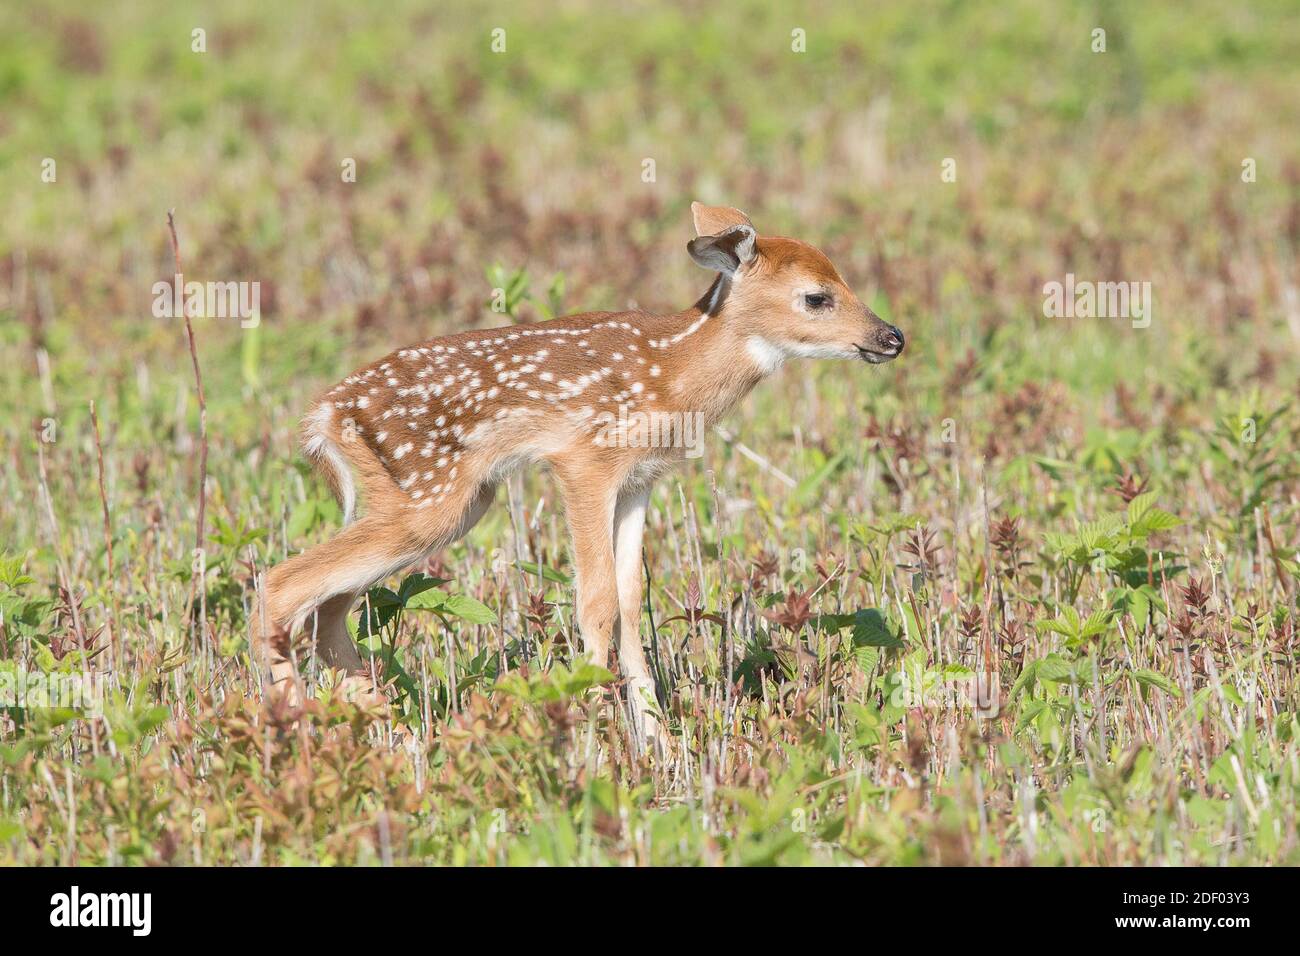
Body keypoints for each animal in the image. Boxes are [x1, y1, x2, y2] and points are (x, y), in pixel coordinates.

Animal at [253, 201, 904, 751]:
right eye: (816, 297)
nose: (892, 336)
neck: (674, 375)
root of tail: (323, 416)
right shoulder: (584, 459)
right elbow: (596, 602)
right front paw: (595, 738)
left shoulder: (640, 479)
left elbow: (632, 601)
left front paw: (658, 744)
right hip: (429, 495)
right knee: (281, 583)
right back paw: (297, 731)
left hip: (440, 502)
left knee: (327, 608)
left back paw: (392, 730)